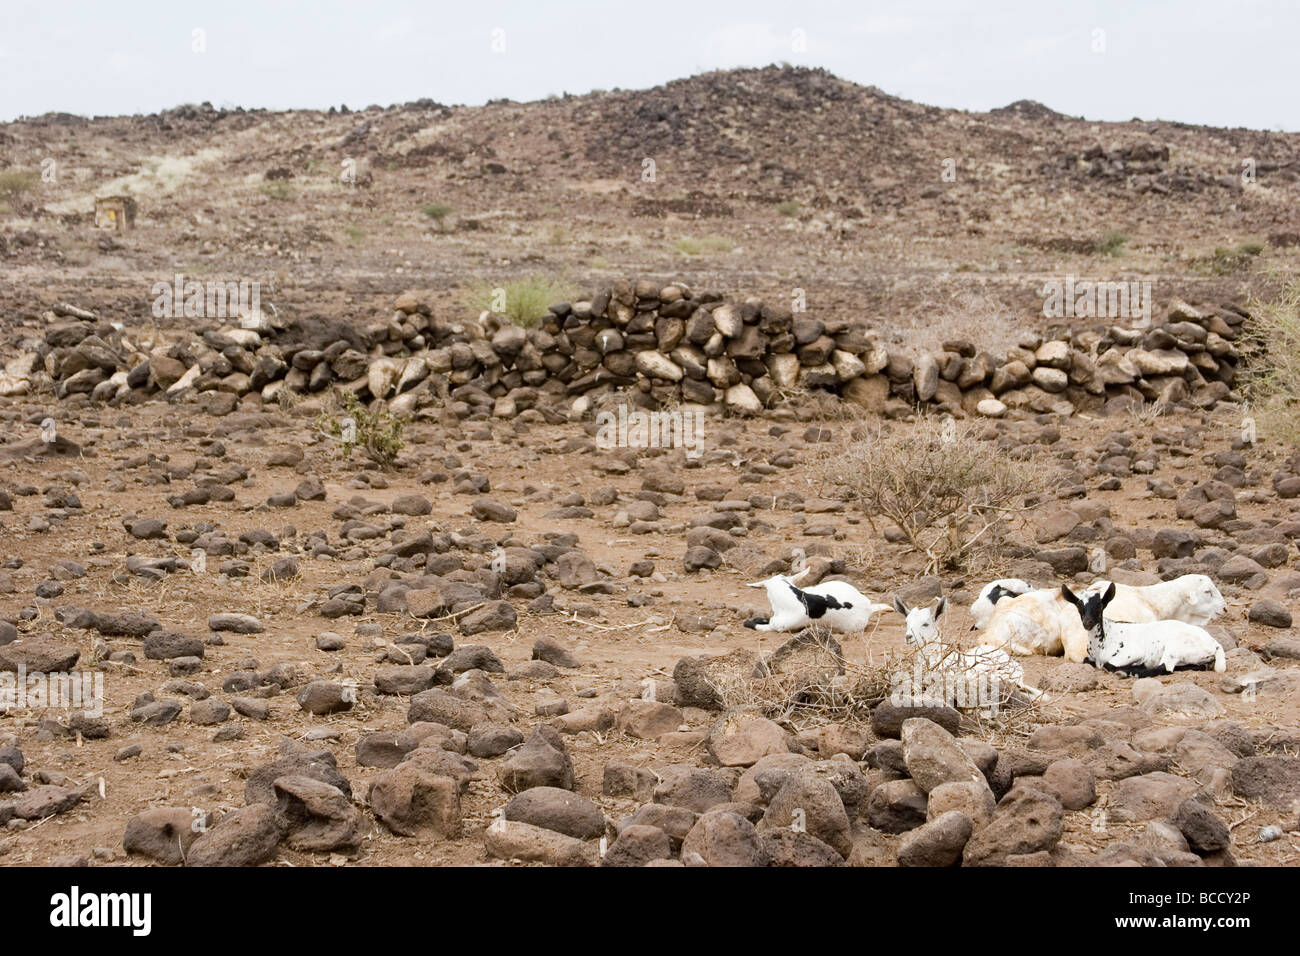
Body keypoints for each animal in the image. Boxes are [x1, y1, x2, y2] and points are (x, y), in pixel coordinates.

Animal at [1062, 583, 1226, 676]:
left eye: (1100, 605)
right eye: (1079, 606)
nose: (1087, 623)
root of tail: (1215, 644)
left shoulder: (1132, 652)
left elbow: (1109, 665)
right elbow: (1086, 660)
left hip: (1176, 647)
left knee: (1164, 667)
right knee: (1198, 666)